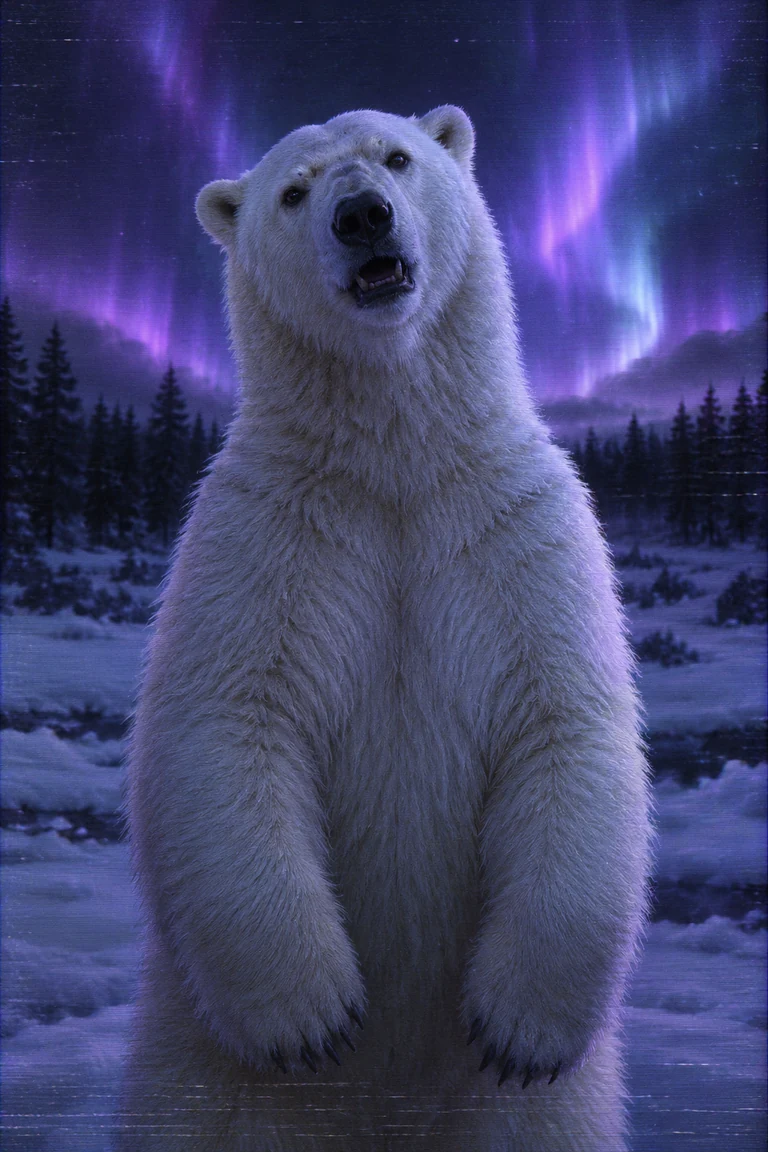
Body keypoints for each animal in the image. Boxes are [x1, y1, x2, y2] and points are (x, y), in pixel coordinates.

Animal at [116, 106, 652, 1151]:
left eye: (399, 156)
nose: (362, 215)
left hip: (527, 1118)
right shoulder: (269, 535)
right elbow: (227, 720)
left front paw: (520, 1026)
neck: (397, 460)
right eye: (293, 190)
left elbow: (567, 722)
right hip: (204, 1078)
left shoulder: (519, 528)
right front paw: (311, 1017)